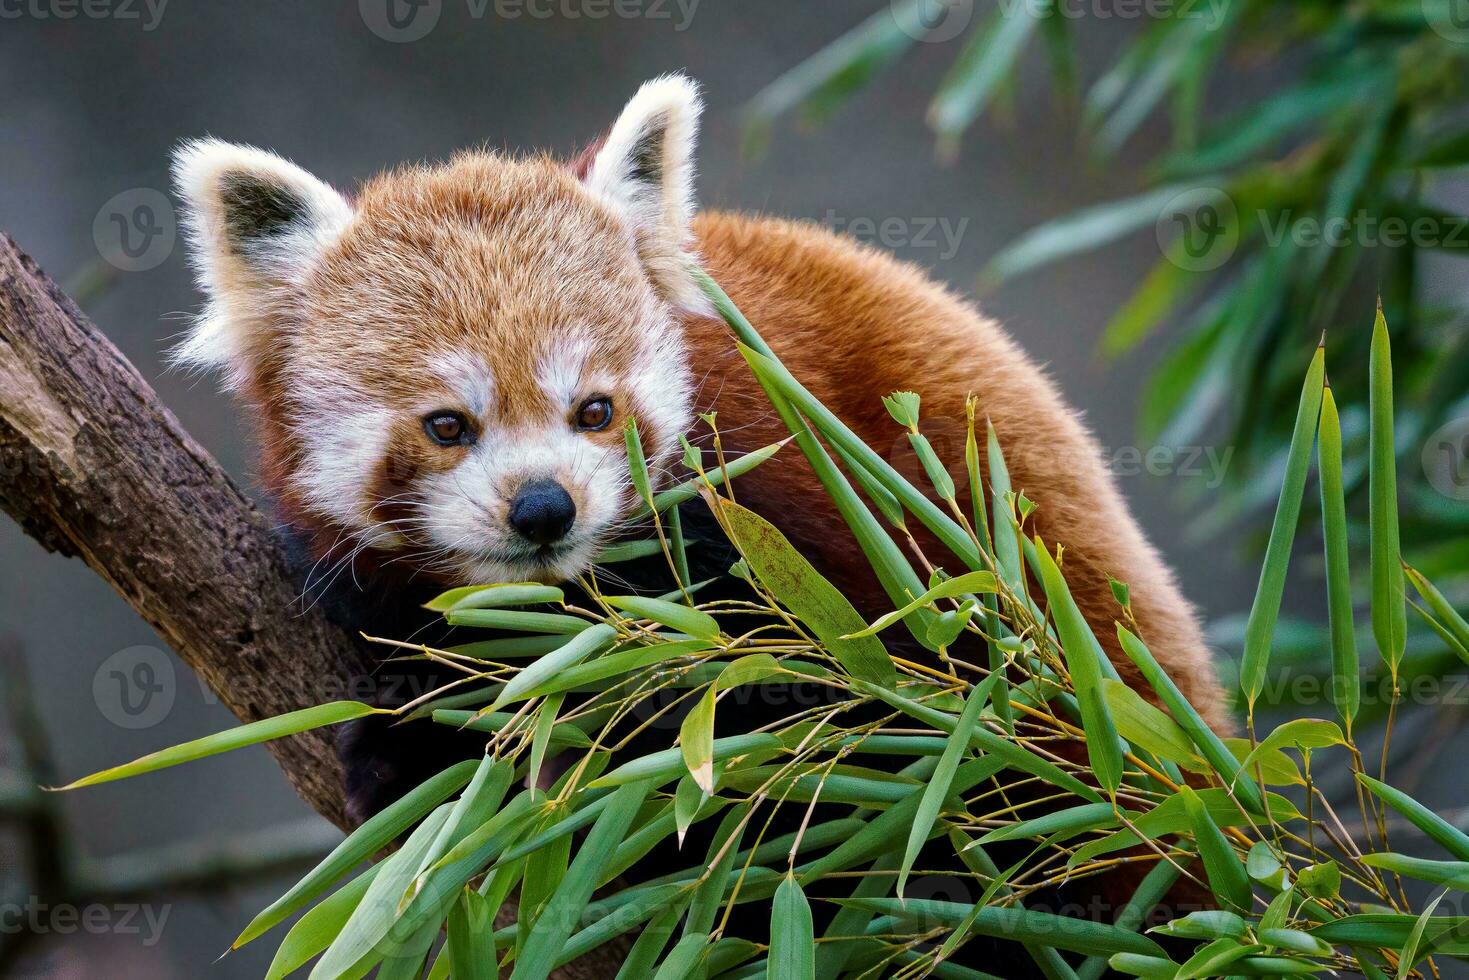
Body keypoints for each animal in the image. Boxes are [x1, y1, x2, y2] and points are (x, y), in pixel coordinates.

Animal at [171, 72, 1228, 834]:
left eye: (594, 410)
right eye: (446, 425)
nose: (543, 507)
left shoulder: (786, 498)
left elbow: (816, 705)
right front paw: (412, 754)